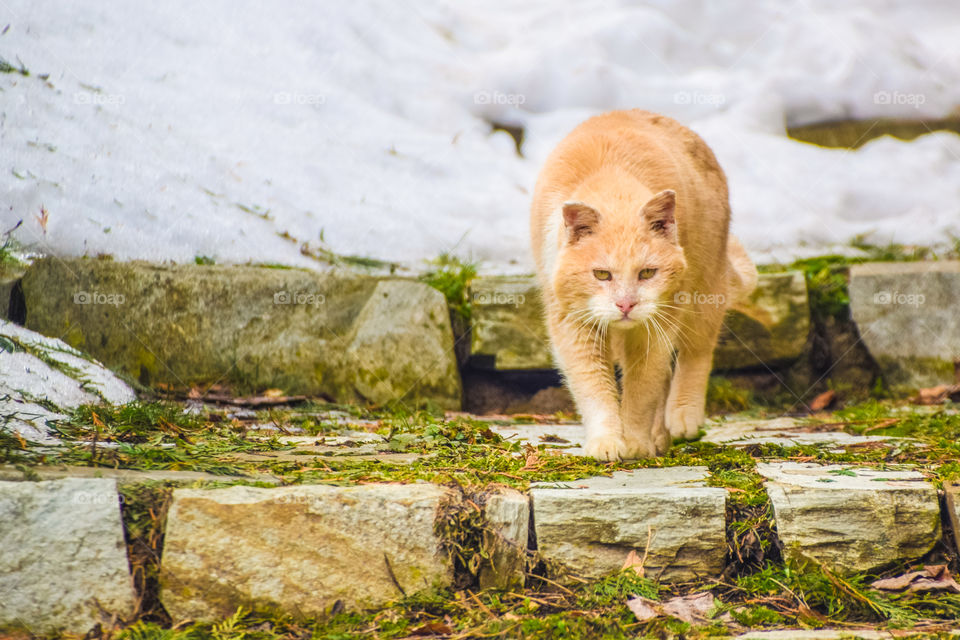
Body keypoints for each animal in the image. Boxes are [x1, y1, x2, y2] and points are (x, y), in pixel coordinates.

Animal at [524, 111, 756, 460]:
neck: (612, 182)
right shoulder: (574, 326)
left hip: (705, 291)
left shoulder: (657, 325)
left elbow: (641, 389)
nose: (626, 304)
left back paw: (682, 418)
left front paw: (634, 442)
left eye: (647, 273)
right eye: (601, 274)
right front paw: (607, 442)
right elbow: (595, 388)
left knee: (696, 354)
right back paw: (660, 437)